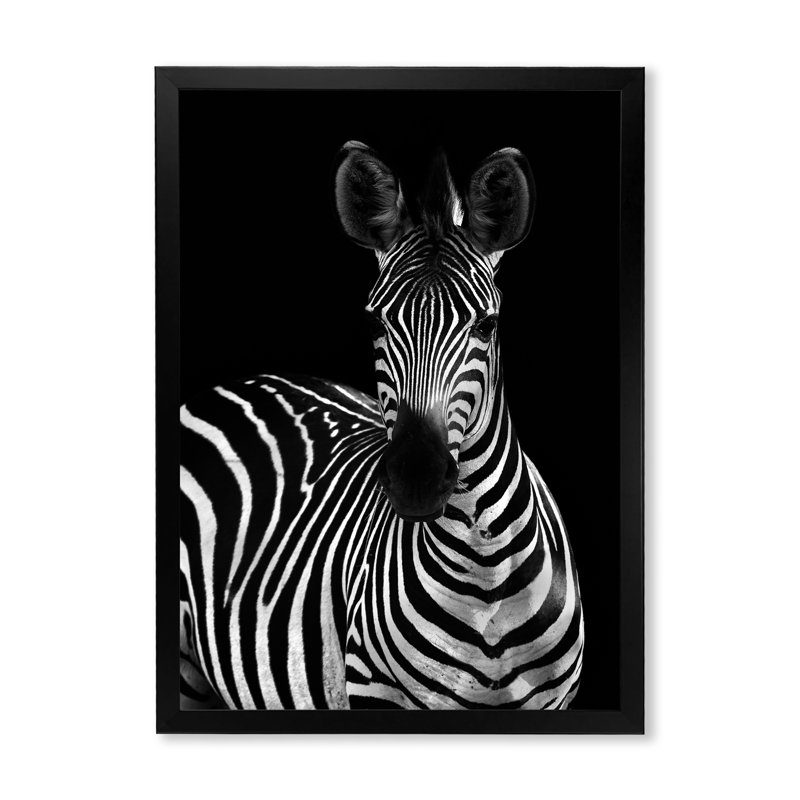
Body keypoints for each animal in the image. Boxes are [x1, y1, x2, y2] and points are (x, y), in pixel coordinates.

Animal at [179, 141, 584, 710]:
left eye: (487, 325)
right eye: (374, 322)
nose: (416, 481)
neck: (486, 576)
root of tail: (247, 380)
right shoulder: (374, 691)